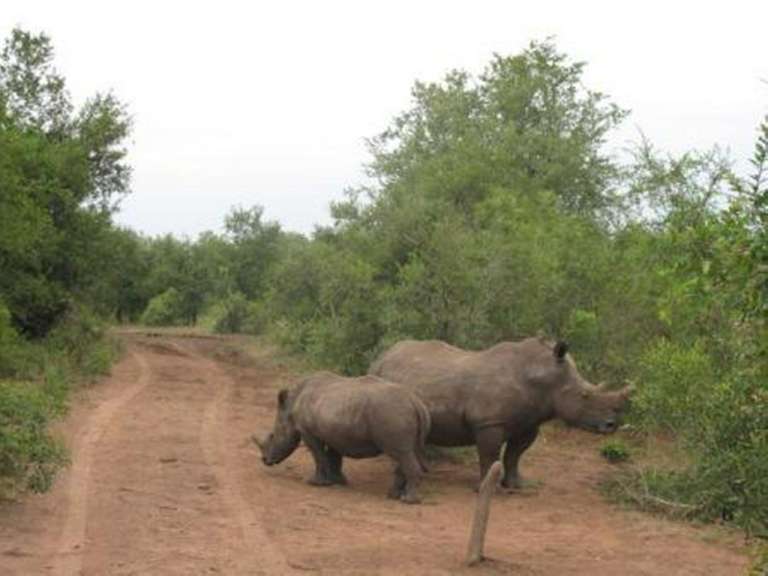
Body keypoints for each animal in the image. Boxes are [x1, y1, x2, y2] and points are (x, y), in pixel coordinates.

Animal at [253, 372, 431, 503]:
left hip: (391, 412)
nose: (265, 460)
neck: (291, 407)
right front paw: (338, 481)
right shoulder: (335, 431)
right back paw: (393, 495)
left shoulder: (308, 432)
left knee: (401, 453)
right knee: (406, 452)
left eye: (273, 436)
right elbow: (334, 456)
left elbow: (318, 456)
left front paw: (315, 483)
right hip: (399, 412)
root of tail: (415, 402)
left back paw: (408, 500)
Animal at [369, 338, 631, 490]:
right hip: (383, 377)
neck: (541, 377)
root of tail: (383, 355)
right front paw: (487, 488)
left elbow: (515, 455)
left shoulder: (529, 422)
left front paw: (516, 485)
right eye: (585, 396)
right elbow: (490, 455)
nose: (611, 425)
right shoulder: (489, 422)